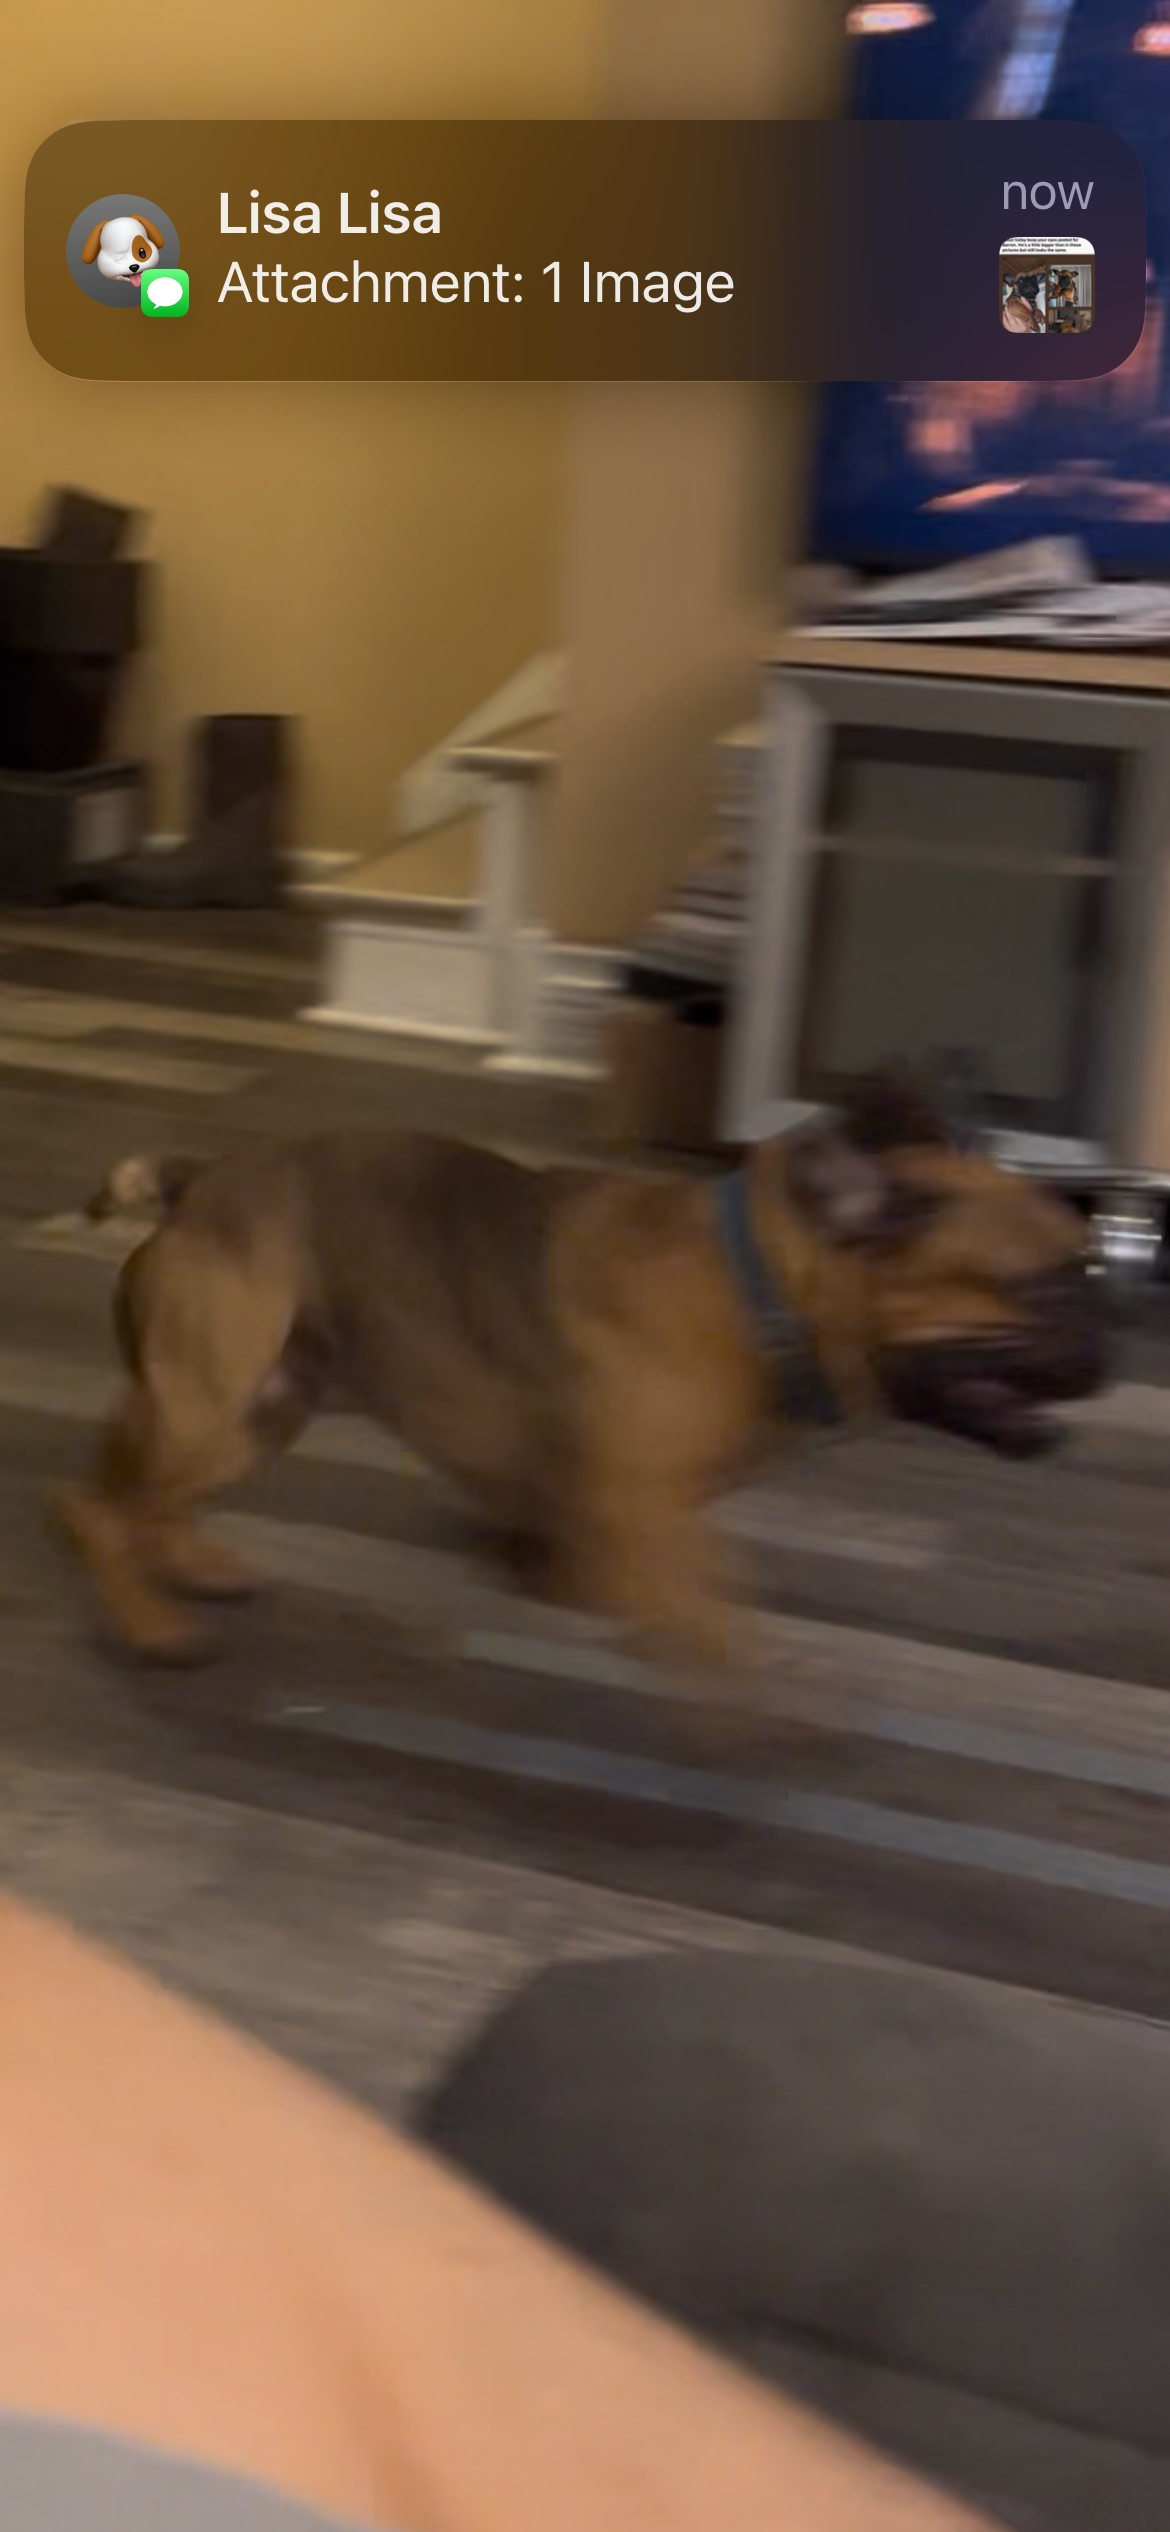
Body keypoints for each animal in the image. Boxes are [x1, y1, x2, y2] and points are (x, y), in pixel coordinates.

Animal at [56, 1078, 1109, 1702]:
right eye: (1040, 1288)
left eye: (1087, 1265)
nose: (1110, 1327)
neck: (760, 1286)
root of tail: (199, 1182)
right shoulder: (637, 1507)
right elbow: (712, 1604)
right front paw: (757, 1689)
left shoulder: (626, 1510)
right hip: (210, 1404)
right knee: (106, 1508)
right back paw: (152, 1624)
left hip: (256, 1408)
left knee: (136, 1491)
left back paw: (191, 1564)